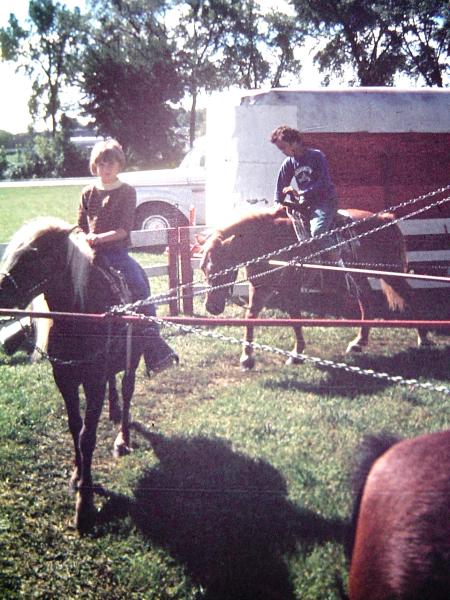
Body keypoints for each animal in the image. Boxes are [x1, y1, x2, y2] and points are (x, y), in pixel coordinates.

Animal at [200, 207, 428, 370]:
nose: (212, 307)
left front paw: (296, 354)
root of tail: (387, 219)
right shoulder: (261, 288)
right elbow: (250, 317)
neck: (271, 241)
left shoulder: (290, 288)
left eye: (223, 269)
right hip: (359, 276)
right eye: (203, 268)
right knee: (366, 300)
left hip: (392, 274)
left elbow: (295, 318)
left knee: (410, 296)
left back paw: (423, 339)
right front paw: (247, 358)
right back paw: (359, 342)